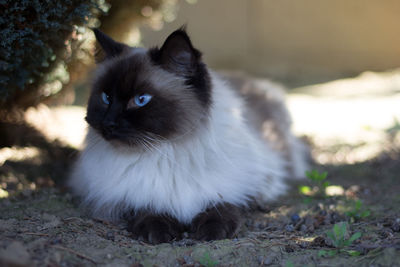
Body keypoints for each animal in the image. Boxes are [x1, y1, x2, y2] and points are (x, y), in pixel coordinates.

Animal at [69, 27, 308, 245]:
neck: (165, 151)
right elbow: (146, 207)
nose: (108, 124)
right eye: (106, 97)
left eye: (141, 99)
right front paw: (159, 232)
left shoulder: (249, 185)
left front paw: (211, 232)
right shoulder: (125, 196)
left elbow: (224, 205)